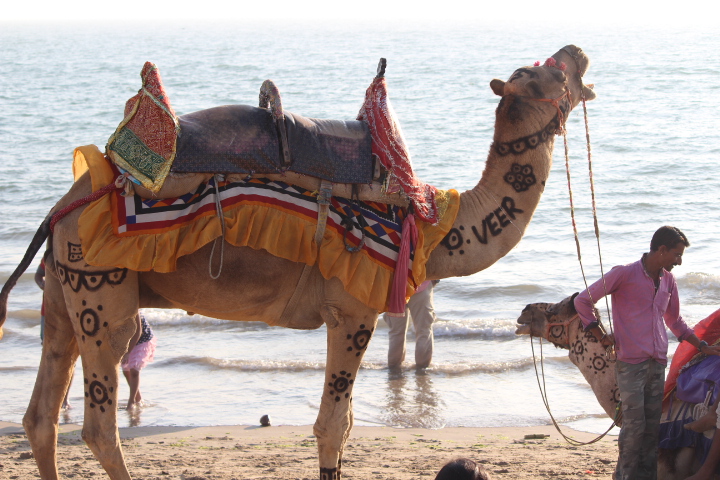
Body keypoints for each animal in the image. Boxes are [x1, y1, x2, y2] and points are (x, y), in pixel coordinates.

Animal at [0, 46, 596, 480]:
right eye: (534, 73)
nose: (577, 51)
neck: (431, 222)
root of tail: (62, 206)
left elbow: (345, 424)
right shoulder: (352, 311)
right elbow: (332, 426)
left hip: (64, 295)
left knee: (41, 417)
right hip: (102, 291)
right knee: (99, 423)